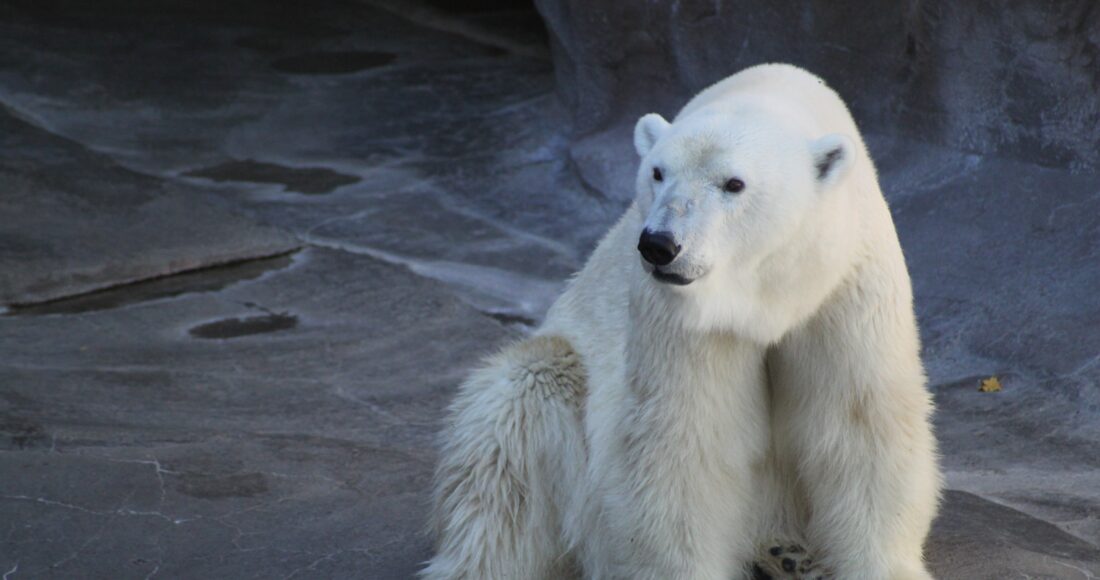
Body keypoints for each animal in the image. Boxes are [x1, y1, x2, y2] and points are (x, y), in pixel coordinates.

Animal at [422, 63, 941, 580]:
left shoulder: (845, 287)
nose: (660, 244)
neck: (765, 297)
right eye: (658, 172)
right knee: (512, 432)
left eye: (734, 183)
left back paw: (787, 554)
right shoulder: (681, 314)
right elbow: (686, 438)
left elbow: (859, 421)